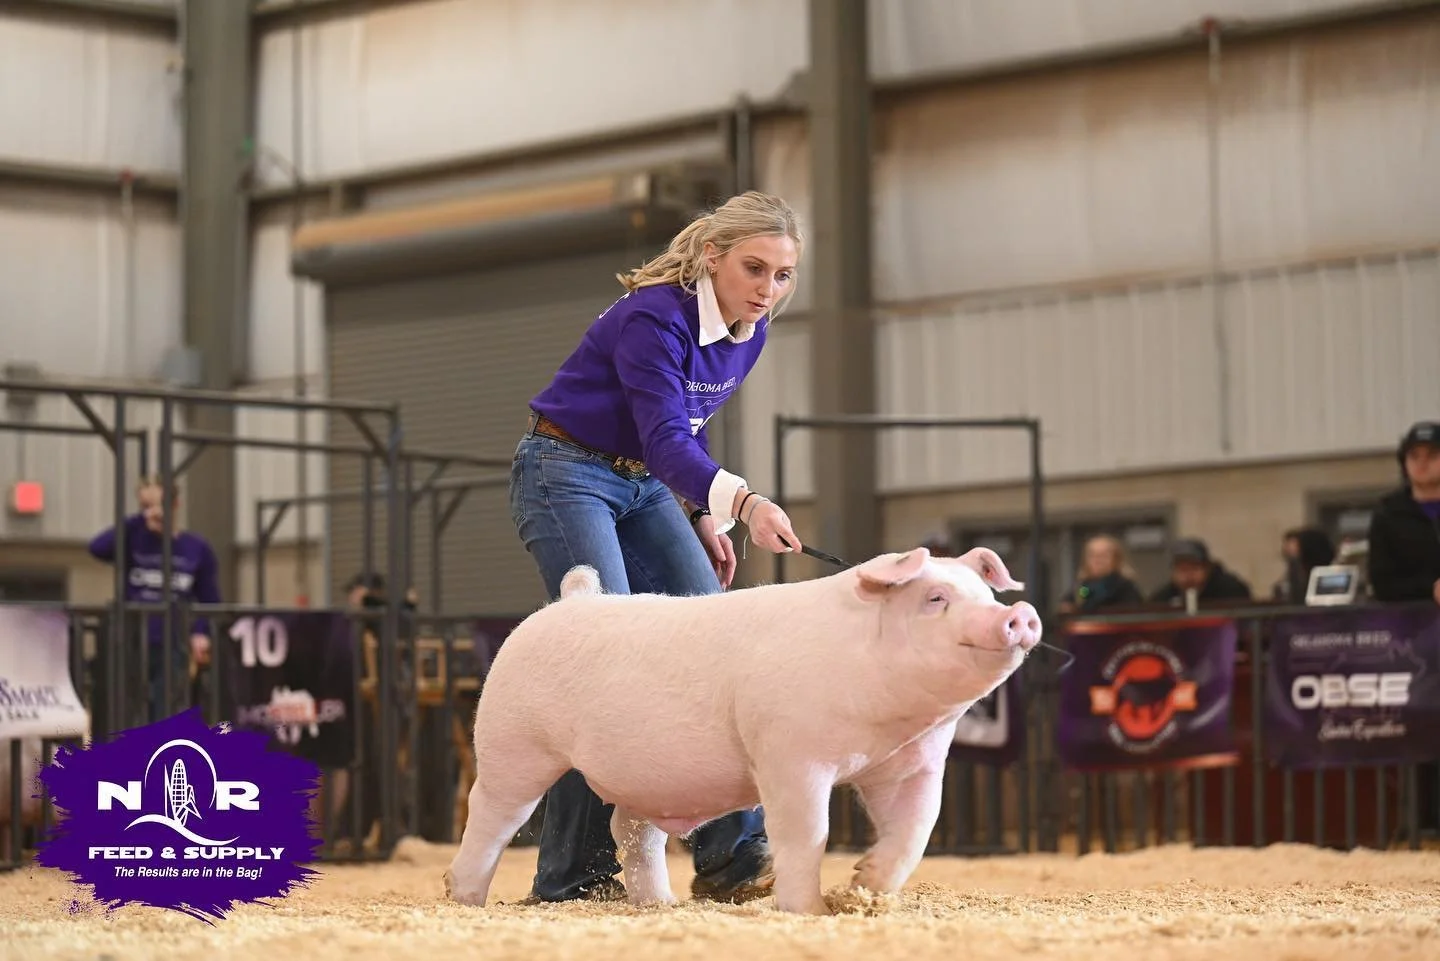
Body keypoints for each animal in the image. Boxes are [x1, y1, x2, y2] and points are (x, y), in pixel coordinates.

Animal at [443, 545, 1040, 915]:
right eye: (935, 599)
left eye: (987, 596)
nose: (1019, 614)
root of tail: (568, 600)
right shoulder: (789, 755)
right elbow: (806, 833)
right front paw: (808, 909)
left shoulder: (913, 765)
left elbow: (915, 831)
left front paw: (863, 887)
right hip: (513, 742)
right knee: (493, 816)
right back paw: (462, 897)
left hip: (644, 779)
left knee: (631, 832)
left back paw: (660, 905)